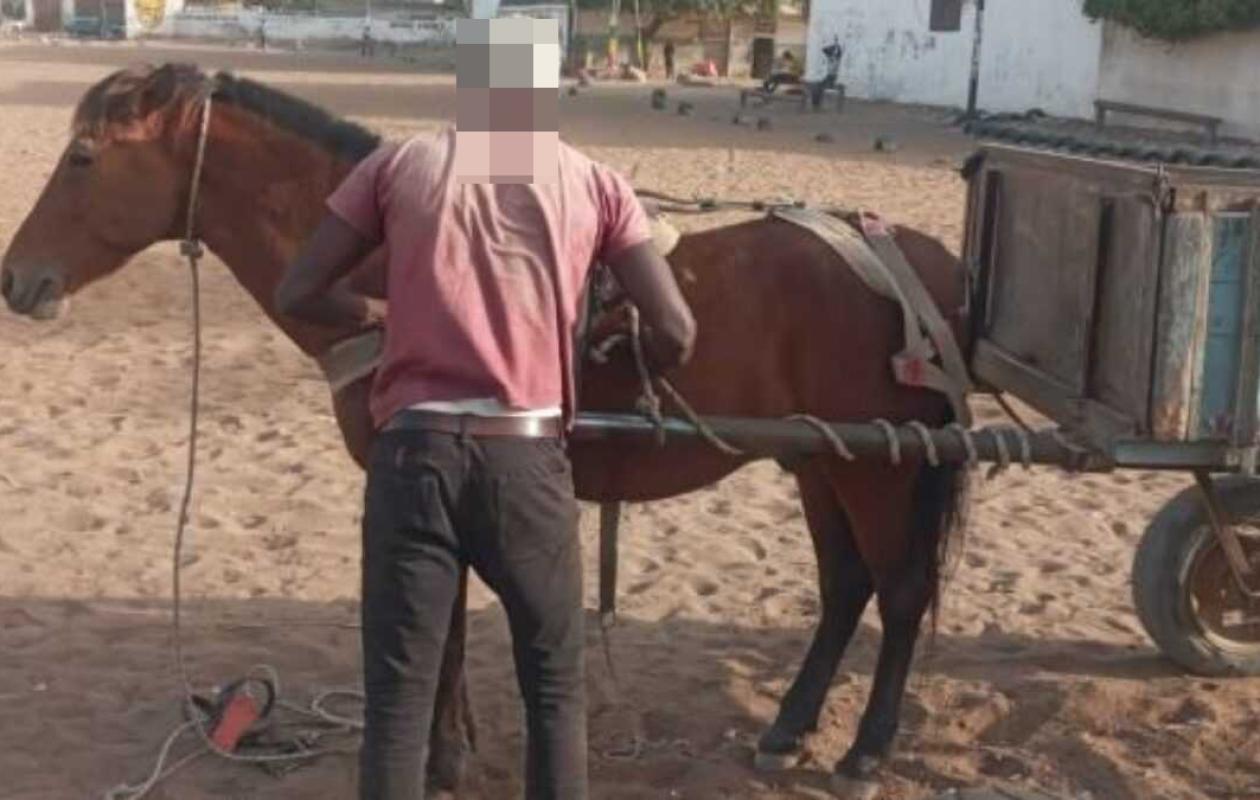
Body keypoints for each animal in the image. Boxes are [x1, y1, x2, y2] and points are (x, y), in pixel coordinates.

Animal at [1, 63, 970, 795]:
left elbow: (438, 630)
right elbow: (458, 630)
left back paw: (866, 749)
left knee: (898, 592)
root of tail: (924, 262)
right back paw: (789, 728)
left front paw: (441, 762)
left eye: (83, 156)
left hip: (878, 470)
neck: (390, 261)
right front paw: (455, 746)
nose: (15, 278)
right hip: (822, 461)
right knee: (846, 589)